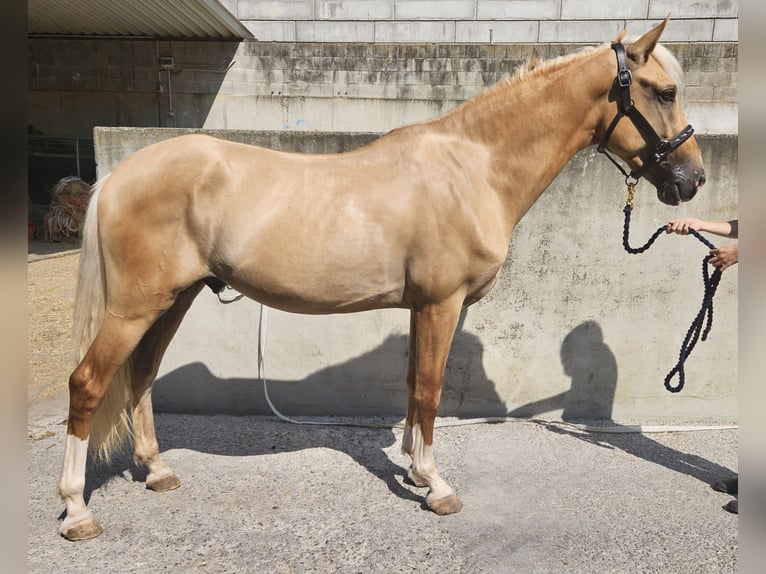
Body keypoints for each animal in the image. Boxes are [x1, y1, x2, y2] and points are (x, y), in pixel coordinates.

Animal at [60, 16, 708, 540]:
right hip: (136, 305)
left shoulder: (422, 307)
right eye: (665, 92)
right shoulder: (442, 304)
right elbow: (429, 390)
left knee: (141, 376)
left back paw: (158, 472)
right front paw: (437, 487)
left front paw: (415, 472)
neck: (472, 168)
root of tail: (119, 175)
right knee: (89, 383)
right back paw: (77, 512)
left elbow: (412, 387)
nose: (693, 180)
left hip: (174, 299)